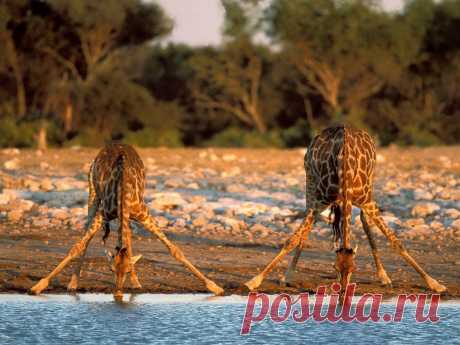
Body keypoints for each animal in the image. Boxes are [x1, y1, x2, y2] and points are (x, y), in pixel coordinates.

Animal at [29, 142, 224, 298]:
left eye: (127, 269)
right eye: (111, 269)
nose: (118, 293)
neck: (123, 189)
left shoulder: (143, 214)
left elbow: (174, 250)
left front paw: (215, 287)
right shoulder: (103, 214)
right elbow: (77, 247)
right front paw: (38, 286)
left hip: (126, 214)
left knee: (128, 239)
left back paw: (136, 282)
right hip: (93, 193)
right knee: (88, 232)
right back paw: (74, 283)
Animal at [243, 126, 448, 292]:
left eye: (354, 269)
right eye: (335, 267)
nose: (342, 291)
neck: (345, 172)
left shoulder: (367, 201)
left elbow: (395, 241)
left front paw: (434, 283)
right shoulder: (319, 202)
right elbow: (291, 240)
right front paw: (255, 281)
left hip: (369, 186)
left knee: (364, 222)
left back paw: (384, 277)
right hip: (310, 182)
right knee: (307, 229)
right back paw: (288, 275)